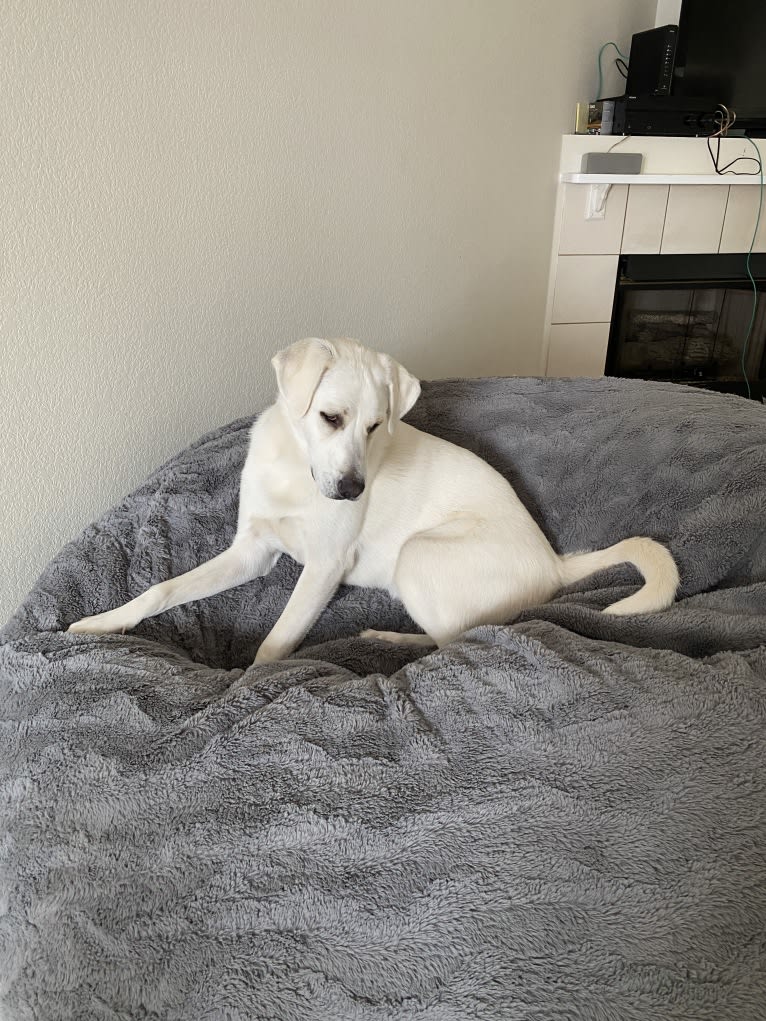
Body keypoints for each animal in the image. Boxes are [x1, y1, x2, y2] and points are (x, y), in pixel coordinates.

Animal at [72, 336, 682, 661]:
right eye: (330, 417)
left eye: (374, 426)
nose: (351, 491)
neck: (297, 474)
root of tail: (554, 564)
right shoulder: (253, 551)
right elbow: (160, 589)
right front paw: (101, 624)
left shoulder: (322, 568)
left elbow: (273, 646)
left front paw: (242, 690)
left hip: (419, 554)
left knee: (454, 638)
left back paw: (388, 635)